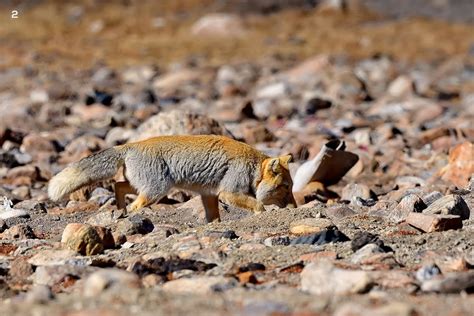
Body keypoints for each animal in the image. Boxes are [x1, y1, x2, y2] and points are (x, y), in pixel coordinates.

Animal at [50, 134, 298, 222]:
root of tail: (130, 145)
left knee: (119, 187)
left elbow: (214, 218)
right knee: (134, 204)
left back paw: (120, 211)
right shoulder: (228, 192)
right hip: (156, 191)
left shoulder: (209, 195)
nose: (295, 208)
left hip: (144, 187)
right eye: (286, 187)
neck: (253, 167)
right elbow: (257, 204)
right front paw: (260, 214)